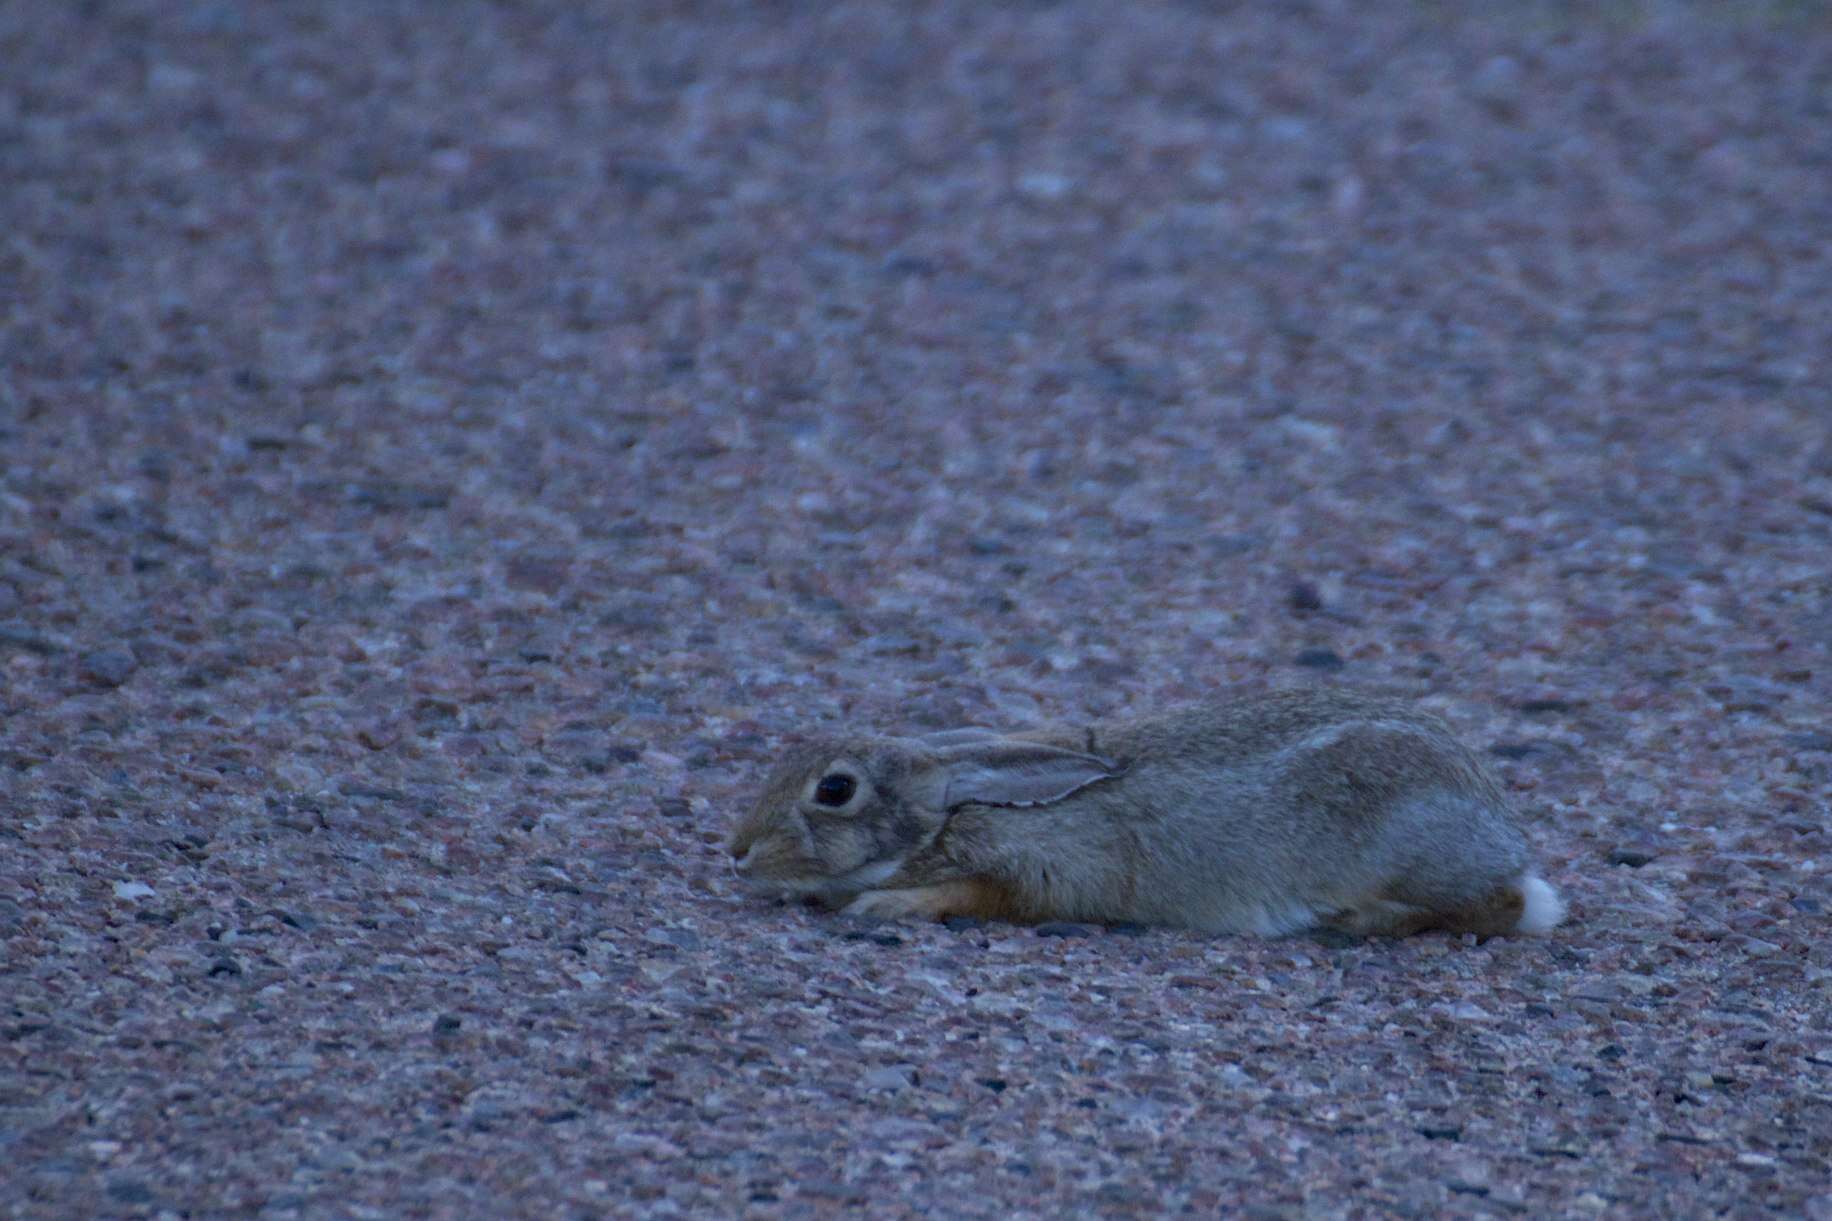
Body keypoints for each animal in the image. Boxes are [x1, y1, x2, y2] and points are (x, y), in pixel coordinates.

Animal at [729, 689, 1560, 935]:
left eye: (835, 790)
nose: (737, 852)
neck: (952, 808)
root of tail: (1505, 836)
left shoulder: (1044, 869)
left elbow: (976, 892)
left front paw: (884, 905)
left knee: (1496, 906)